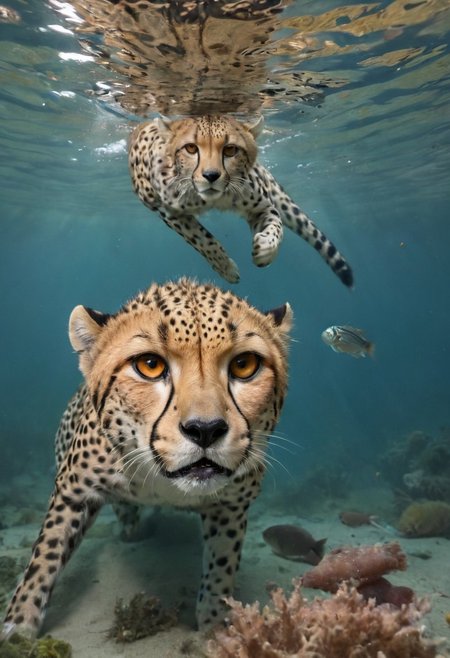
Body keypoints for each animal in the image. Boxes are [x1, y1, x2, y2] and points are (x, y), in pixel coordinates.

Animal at [2, 278, 292, 640]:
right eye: (150, 366)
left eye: (244, 365)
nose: (205, 429)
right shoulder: (73, 489)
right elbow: (45, 553)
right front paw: (18, 624)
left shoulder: (232, 504)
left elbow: (222, 562)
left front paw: (215, 622)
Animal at [129, 114, 353, 287]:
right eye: (191, 148)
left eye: (230, 150)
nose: (211, 175)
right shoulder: (170, 212)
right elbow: (202, 240)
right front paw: (226, 268)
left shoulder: (262, 206)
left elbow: (276, 227)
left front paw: (265, 250)